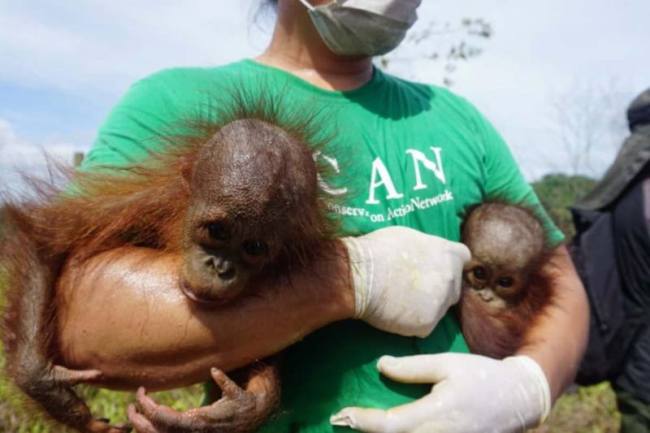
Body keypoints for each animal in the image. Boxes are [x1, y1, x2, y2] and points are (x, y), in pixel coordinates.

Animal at [0, 99, 341, 433]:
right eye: (217, 231)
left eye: (254, 248)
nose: (220, 267)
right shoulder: (145, 202)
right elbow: (46, 239)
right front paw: (49, 389)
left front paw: (240, 409)